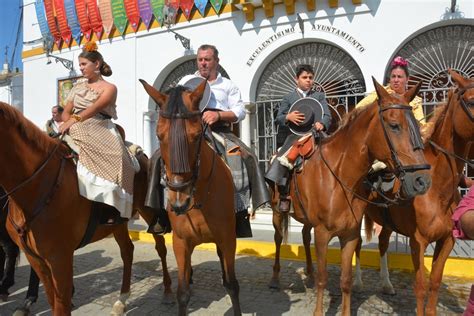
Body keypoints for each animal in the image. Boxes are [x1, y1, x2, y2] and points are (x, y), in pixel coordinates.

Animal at [0, 102, 172, 314]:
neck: (36, 186)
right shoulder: (36, 259)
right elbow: (52, 301)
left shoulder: (60, 258)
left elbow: (62, 306)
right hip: (118, 223)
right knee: (127, 251)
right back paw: (121, 300)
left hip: (148, 212)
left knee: (160, 247)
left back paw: (167, 291)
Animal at [139, 78, 239, 314]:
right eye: (159, 135)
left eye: (196, 136)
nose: (179, 202)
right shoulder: (181, 242)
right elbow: (182, 293)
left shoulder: (228, 238)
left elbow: (232, 285)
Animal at [268, 78, 432, 314]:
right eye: (394, 125)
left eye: (417, 127)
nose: (422, 180)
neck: (339, 177)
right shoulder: (323, 233)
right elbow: (324, 277)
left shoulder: (350, 235)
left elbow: (345, 280)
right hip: (277, 212)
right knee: (278, 238)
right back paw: (275, 278)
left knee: (305, 236)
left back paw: (308, 273)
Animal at [354, 68, 472, 314]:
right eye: (471, 101)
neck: (438, 190)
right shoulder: (419, 242)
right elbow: (420, 286)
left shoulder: (447, 240)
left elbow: (435, 282)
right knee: (357, 245)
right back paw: (358, 282)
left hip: (387, 222)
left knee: (382, 242)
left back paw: (387, 284)